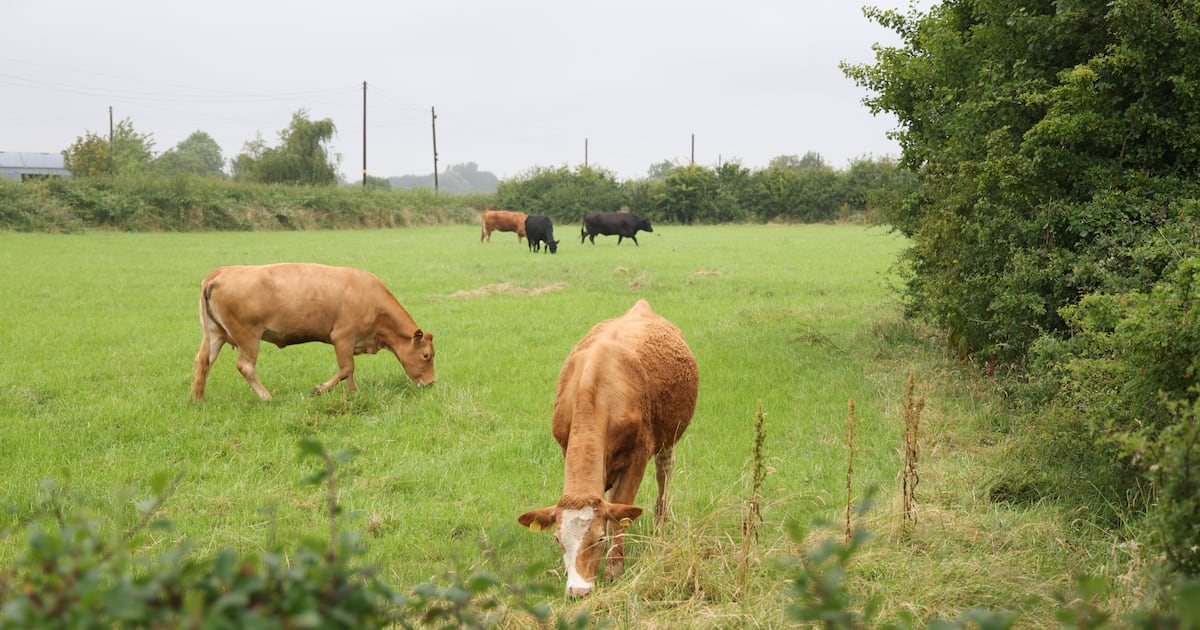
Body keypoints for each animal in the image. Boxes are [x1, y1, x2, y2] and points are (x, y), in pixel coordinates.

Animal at [189, 263, 435, 401]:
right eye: (426, 356)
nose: (431, 383)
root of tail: (221, 272)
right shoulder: (342, 336)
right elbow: (347, 368)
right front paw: (321, 389)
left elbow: (349, 372)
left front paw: (353, 394)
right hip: (248, 335)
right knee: (245, 366)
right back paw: (266, 397)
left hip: (215, 333)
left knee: (203, 361)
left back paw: (197, 397)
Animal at [518, 299, 698, 598]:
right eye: (557, 539)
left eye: (599, 538)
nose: (578, 590)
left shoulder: (638, 454)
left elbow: (620, 509)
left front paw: (614, 568)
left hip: (668, 438)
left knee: (663, 476)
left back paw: (661, 525)